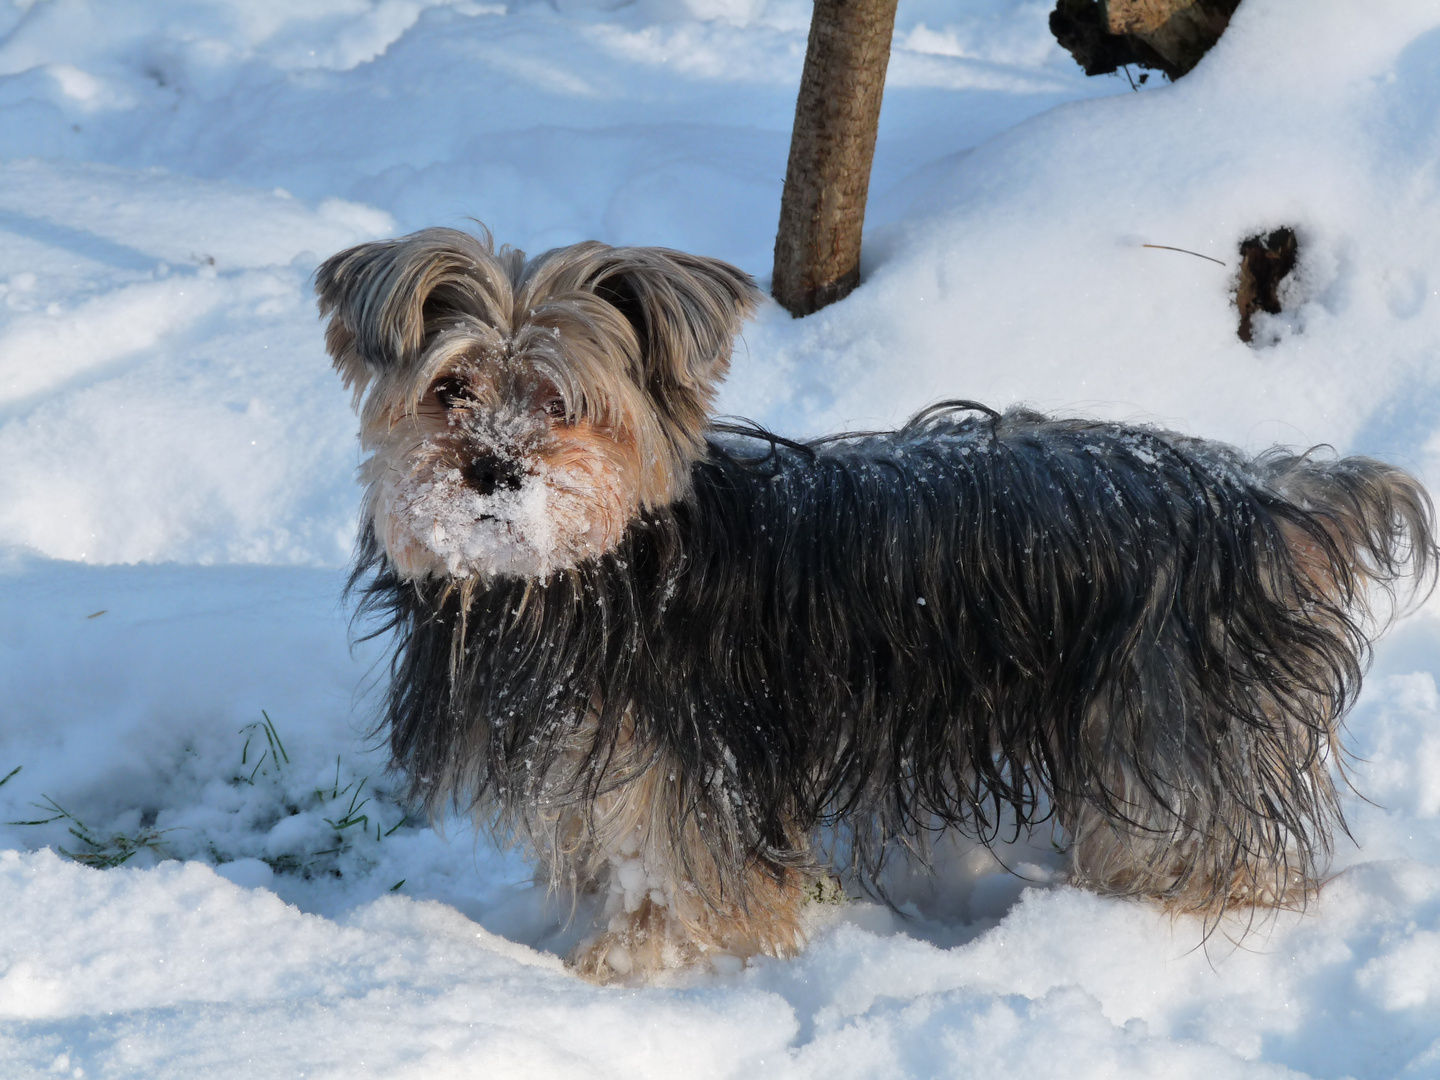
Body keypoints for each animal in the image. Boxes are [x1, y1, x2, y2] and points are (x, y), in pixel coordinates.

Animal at [318, 224, 1440, 984]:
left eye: (562, 403)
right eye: (451, 389)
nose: (492, 469)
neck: (581, 576)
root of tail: (1264, 503)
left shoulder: (684, 775)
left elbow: (672, 881)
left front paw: (627, 975)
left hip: (1171, 731)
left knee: (1207, 857)